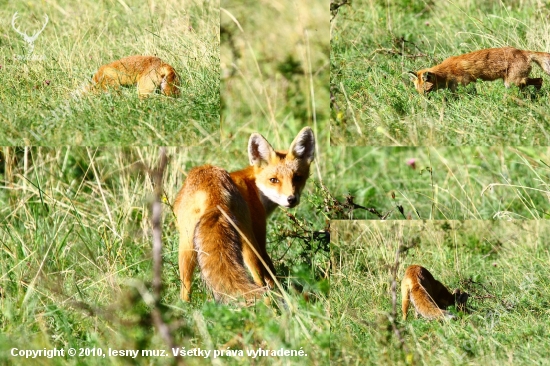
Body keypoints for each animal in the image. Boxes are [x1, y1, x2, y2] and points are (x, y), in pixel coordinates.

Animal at [175, 126, 316, 304]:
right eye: (273, 180)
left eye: (297, 177)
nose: (291, 199)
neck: (253, 188)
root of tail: (213, 191)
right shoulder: (259, 232)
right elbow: (270, 273)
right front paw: (282, 292)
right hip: (247, 240)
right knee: (258, 280)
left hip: (186, 245)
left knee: (185, 285)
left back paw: (185, 307)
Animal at [410, 47, 550, 93]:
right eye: (419, 92)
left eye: (426, 90)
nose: (424, 104)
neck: (445, 72)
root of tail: (523, 51)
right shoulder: (453, 87)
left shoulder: (463, 83)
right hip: (514, 82)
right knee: (539, 80)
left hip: (513, 82)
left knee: (539, 80)